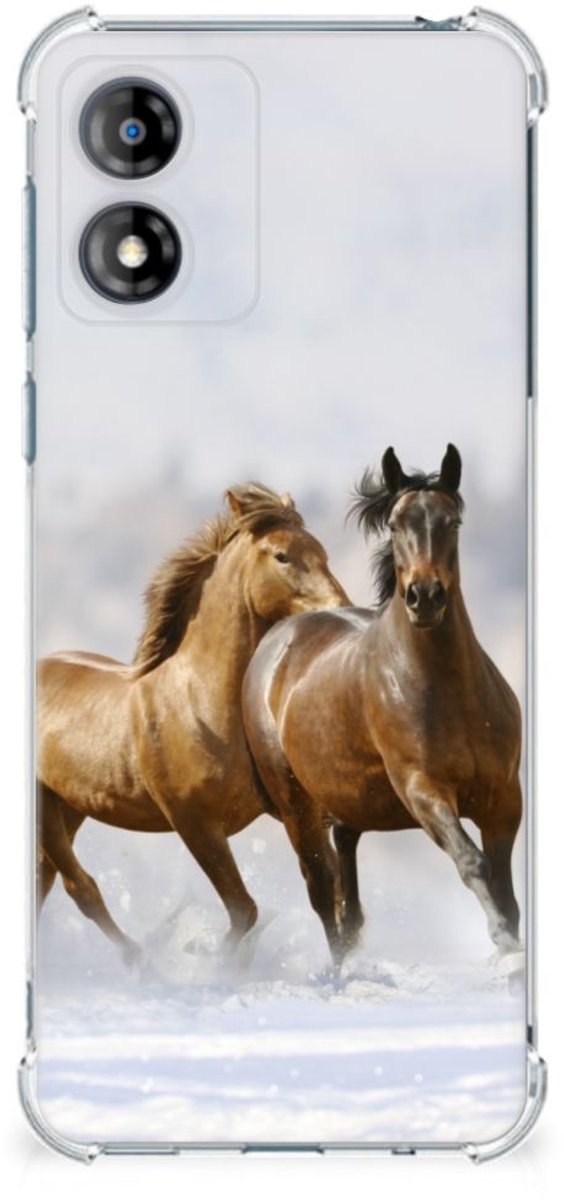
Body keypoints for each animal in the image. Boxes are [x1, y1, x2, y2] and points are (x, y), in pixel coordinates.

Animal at [37, 484, 349, 962]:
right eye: (282, 555)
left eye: (322, 551)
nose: (341, 609)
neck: (201, 703)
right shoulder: (194, 822)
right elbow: (244, 910)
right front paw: (207, 958)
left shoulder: (290, 809)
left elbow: (325, 889)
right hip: (45, 807)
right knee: (79, 887)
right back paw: (140, 961)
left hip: (69, 805)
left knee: (45, 880)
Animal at [242, 446, 523, 966]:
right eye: (394, 524)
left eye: (452, 521)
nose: (424, 597)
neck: (449, 692)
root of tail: (276, 640)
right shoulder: (422, 789)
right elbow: (472, 862)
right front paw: (503, 943)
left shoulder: (504, 798)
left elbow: (506, 887)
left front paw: (511, 944)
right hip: (296, 806)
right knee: (321, 890)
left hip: (347, 801)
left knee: (346, 885)